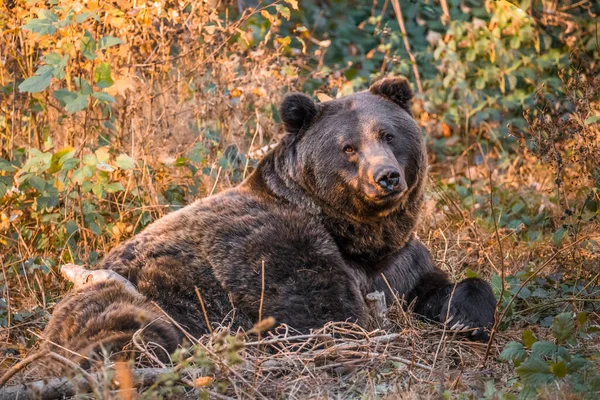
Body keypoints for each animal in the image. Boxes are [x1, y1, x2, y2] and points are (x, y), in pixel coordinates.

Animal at [44, 78, 496, 362]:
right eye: (348, 147)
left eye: (389, 135)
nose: (386, 177)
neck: (354, 235)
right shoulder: (274, 245)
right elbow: (322, 313)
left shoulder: (397, 259)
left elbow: (440, 285)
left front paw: (466, 317)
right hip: (136, 298)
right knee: (127, 333)